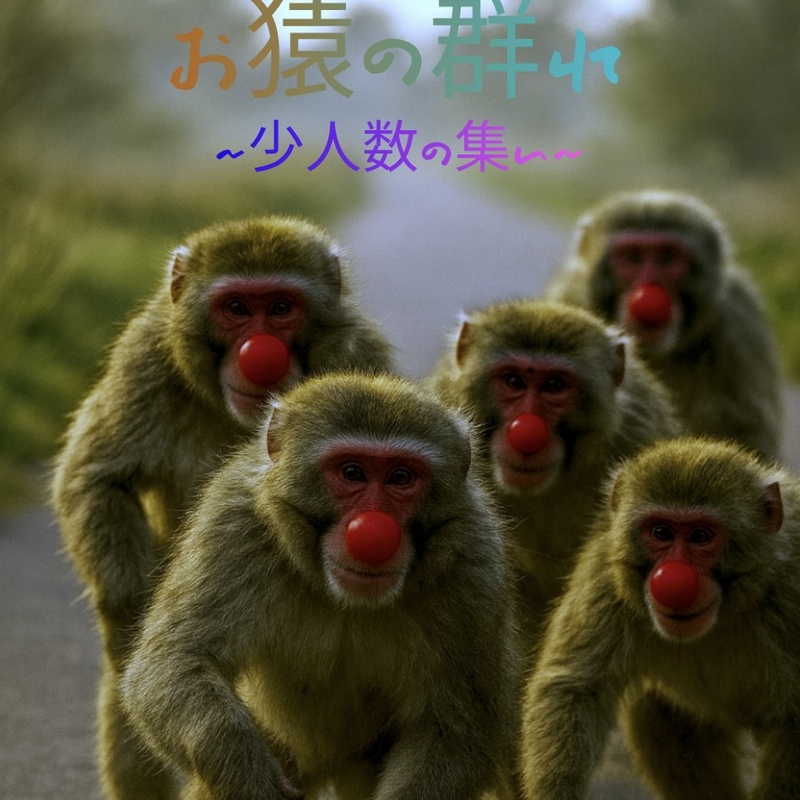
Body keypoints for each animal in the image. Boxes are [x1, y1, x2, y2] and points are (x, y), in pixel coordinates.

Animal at [50, 216, 395, 800]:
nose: (261, 352)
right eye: (236, 308)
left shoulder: (361, 361)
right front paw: (125, 607)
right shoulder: (147, 353)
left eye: (280, 307)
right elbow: (98, 477)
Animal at [121, 372, 520, 800]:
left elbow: (458, 730)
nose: (373, 532)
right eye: (352, 473)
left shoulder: (474, 567)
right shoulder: (234, 524)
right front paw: (249, 780)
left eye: (401, 478)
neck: (344, 598)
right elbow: (174, 663)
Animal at [520, 437, 800, 800]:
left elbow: (793, 722)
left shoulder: (790, 593)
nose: (671, 580)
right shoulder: (610, 576)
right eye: (661, 532)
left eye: (701, 536)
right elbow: (574, 688)